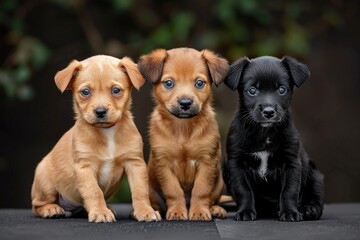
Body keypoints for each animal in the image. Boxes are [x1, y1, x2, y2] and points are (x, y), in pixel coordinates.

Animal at [139, 47, 229, 220]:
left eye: (199, 83)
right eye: (169, 83)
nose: (185, 103)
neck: (183, 128)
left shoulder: (207, 161)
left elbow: (201, 190)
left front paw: (199, 211)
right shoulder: (164, 163)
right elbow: (173, 191)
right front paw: (177, 211)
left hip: (219, 182)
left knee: (212, 198)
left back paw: (215, 209)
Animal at [224, 56, 324, 221]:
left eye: (281, 89)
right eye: (252, 91)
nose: (269, 112)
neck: (265, 133)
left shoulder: (291, 162)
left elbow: (289, 190)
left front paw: (290, 212)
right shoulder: (236, 163)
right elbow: (243, 190)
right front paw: (245, 211)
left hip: (315, 175)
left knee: (315, 195)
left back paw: (309, 209)